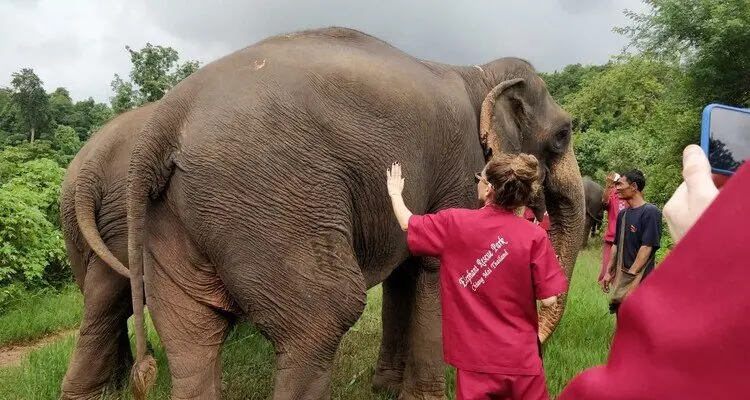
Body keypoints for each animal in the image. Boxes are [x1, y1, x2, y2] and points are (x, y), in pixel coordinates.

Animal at [89, 27, 585, 400]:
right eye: (563, 134)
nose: (538, 348)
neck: (477, 73)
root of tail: (164, 122)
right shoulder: (460, 166)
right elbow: (433, 266)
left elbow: (407, 270)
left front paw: (384, 389)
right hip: (272, 194)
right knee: (325, 315)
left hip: (174, 216)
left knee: (192, 336)